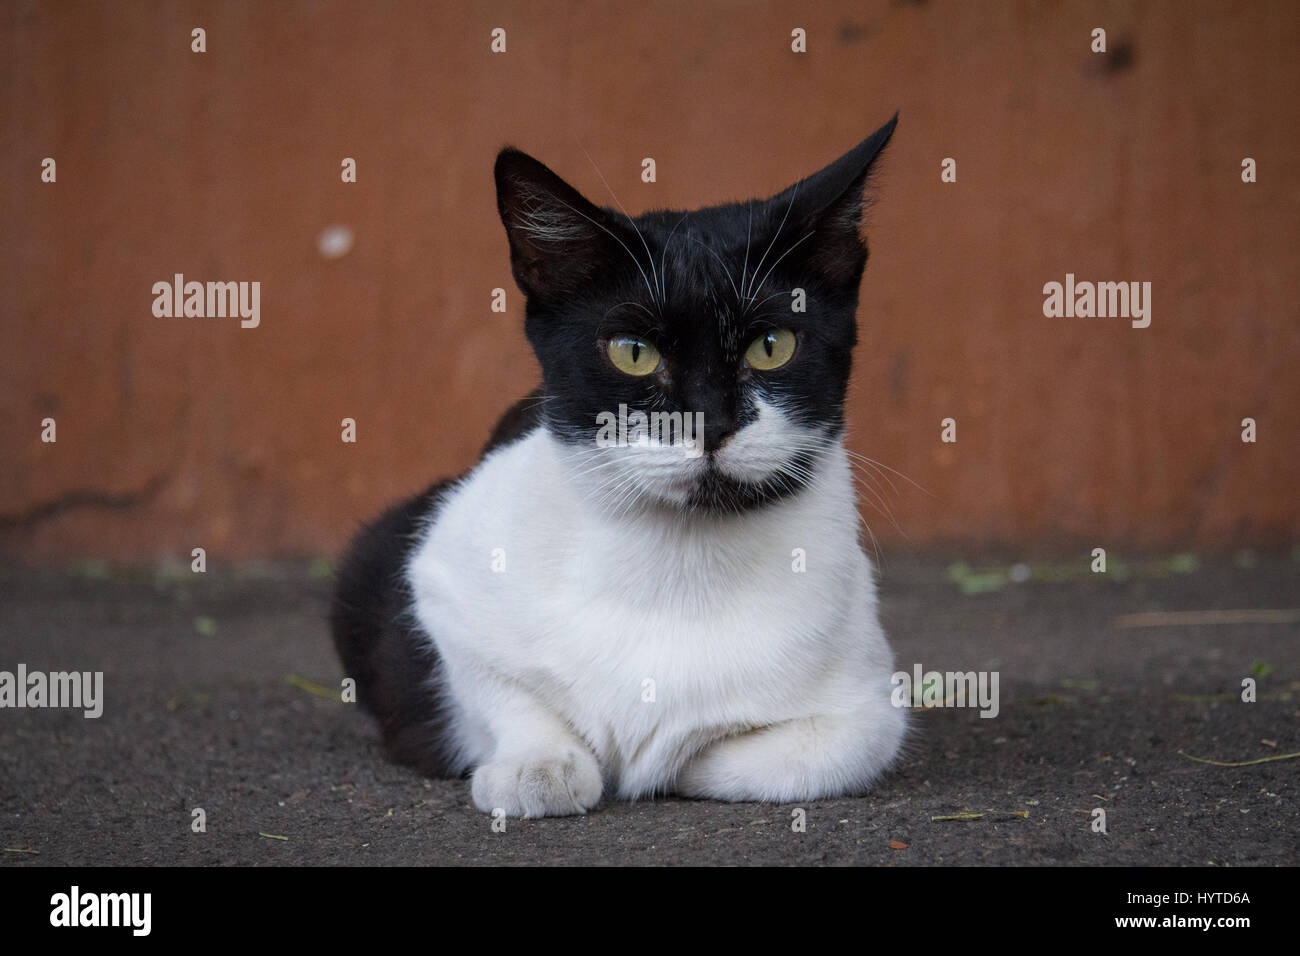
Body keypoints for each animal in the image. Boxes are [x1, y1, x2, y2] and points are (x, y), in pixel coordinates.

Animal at [330, 111, 909, 816]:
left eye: (772, 346)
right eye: (632, 352)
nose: (710, 421)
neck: (680, 556)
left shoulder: (869, 705)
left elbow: (793, 754)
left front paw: (662, 757)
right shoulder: (435, 578)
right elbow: (498, 684)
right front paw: (538, 764)